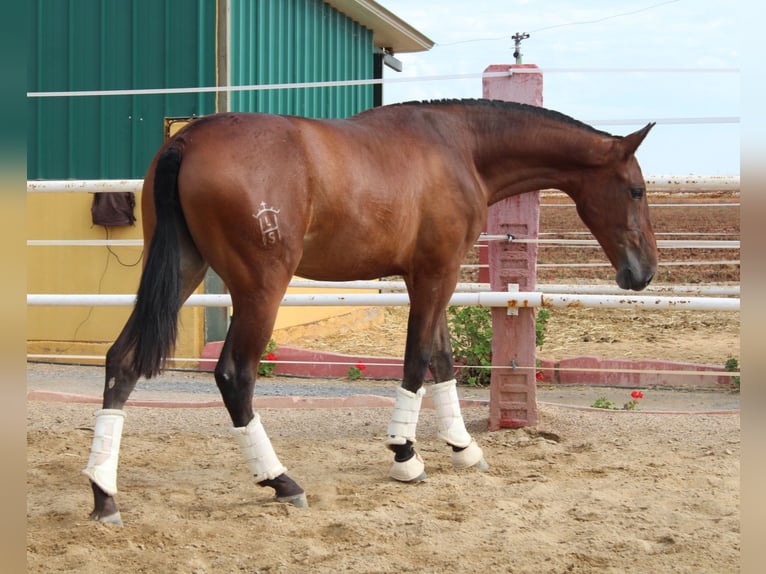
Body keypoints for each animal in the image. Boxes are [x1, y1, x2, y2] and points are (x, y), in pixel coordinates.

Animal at [84, 99, 660, 528]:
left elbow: (442, 362)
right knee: (234, 375)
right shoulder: (435, 275)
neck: (460, 147)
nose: (644, 272)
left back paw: (103, 493)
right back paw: (280, 481)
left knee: (123, 361)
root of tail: (187, 141)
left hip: (182, 270)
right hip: (261, 290)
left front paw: (463, 448)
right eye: (635, 189)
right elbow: (417, 360)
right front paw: (406, 455)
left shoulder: (431, 275)